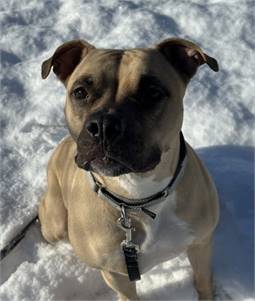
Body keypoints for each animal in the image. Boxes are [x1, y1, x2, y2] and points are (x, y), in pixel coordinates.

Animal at [37, 38, 219, 298]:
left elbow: (203, 282)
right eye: (80, 92)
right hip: (55, 223)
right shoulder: (117, 274)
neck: (139, 196)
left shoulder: (201, 244)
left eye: (152, 93)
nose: (104, 126)